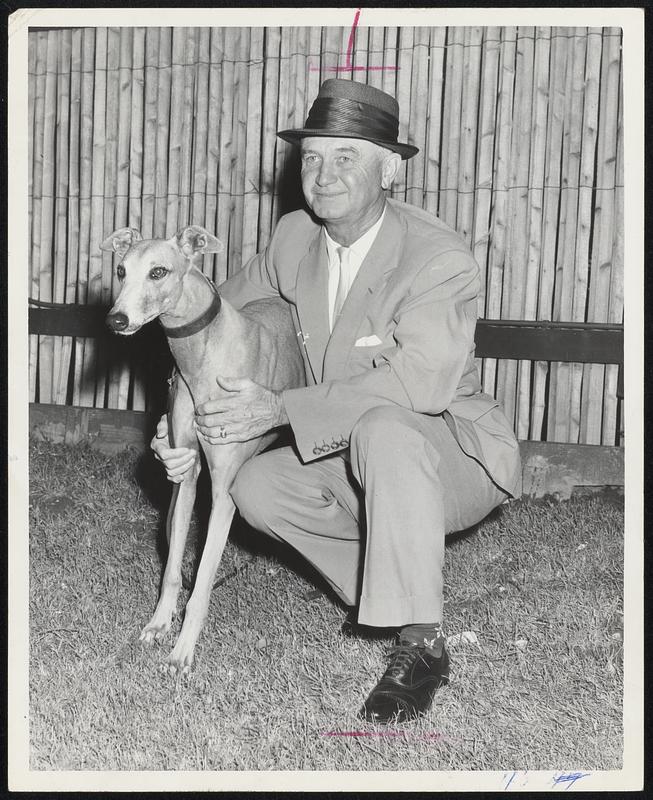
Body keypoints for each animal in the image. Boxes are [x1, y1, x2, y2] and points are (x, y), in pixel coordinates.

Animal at [102, 227, 306, 676]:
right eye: (121, 270)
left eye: (159, 271)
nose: (116, 320)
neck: (203, 354)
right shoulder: (187, 475)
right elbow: (173, 570)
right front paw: (159, 624)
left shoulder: (224, 494)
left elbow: (203, 581)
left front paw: (182, 652)